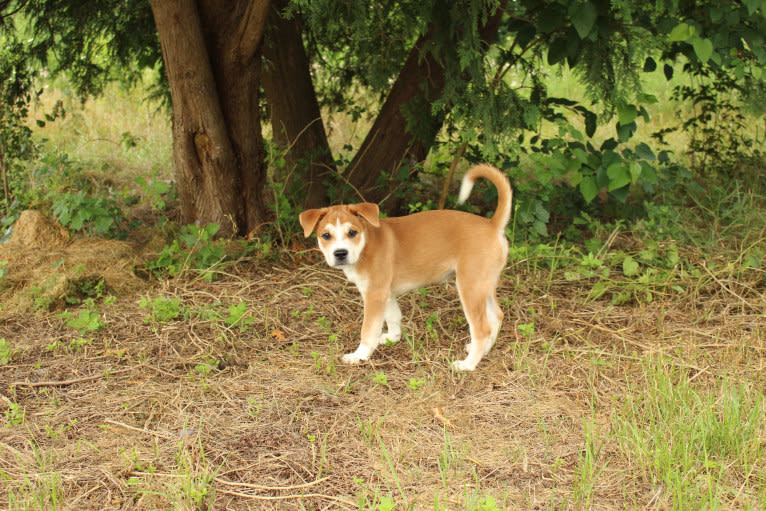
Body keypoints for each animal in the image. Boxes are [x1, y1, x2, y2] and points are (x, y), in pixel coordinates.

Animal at [298, 166, 510, 370]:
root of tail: (492, 225)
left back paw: (468, 364)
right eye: (326, 235)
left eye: (352, 232)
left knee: (482, 329)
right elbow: (393, 316)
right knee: (497, 316)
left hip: (470, 287)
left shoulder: (375, 294)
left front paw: (360, 355)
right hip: (484, 286)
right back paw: (483, 351)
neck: (366, 244)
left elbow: (368, 330)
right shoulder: (386, 292)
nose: (340, 253)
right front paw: (392, 338)